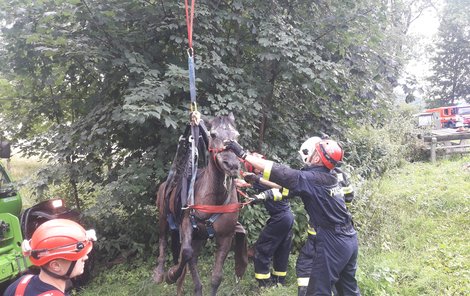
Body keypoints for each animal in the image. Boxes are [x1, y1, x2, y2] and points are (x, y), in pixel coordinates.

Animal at [154, 113, 250, 296]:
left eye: (237, 135)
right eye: (213, 134)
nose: (232, 165)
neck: (213, 200)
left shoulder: (226, 237)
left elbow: (216, 277)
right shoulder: (187, 225)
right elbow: (186, 253)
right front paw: (172, 274)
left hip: (199, 237)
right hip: (163, 217)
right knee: (163, 240)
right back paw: (160, 273)